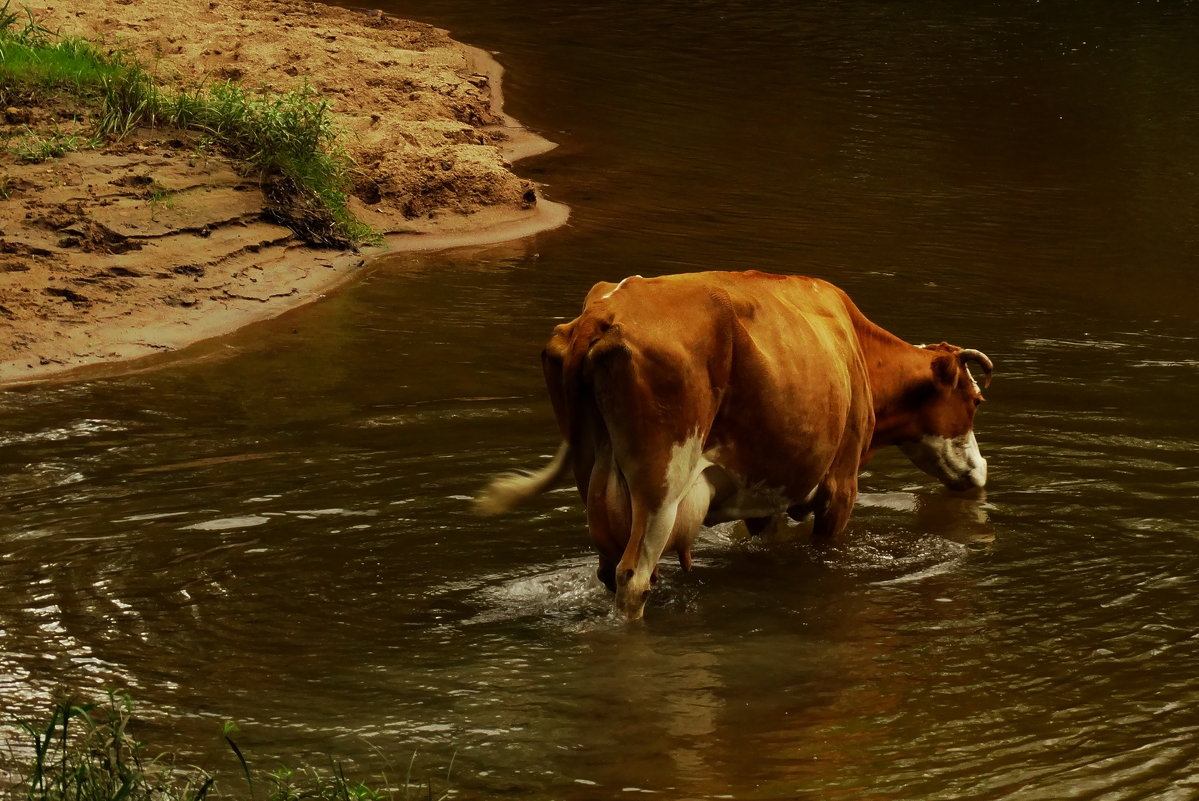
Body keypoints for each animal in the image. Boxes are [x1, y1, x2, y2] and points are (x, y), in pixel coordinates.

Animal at [477, 270, 992, 618]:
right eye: (975, 400)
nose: (981, 472)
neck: (855, 347)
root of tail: (601, 316)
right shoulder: (841, 483)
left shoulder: (768, 491)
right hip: (662, 486)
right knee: (632, 577)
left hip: (596, 480)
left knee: (608, 571)